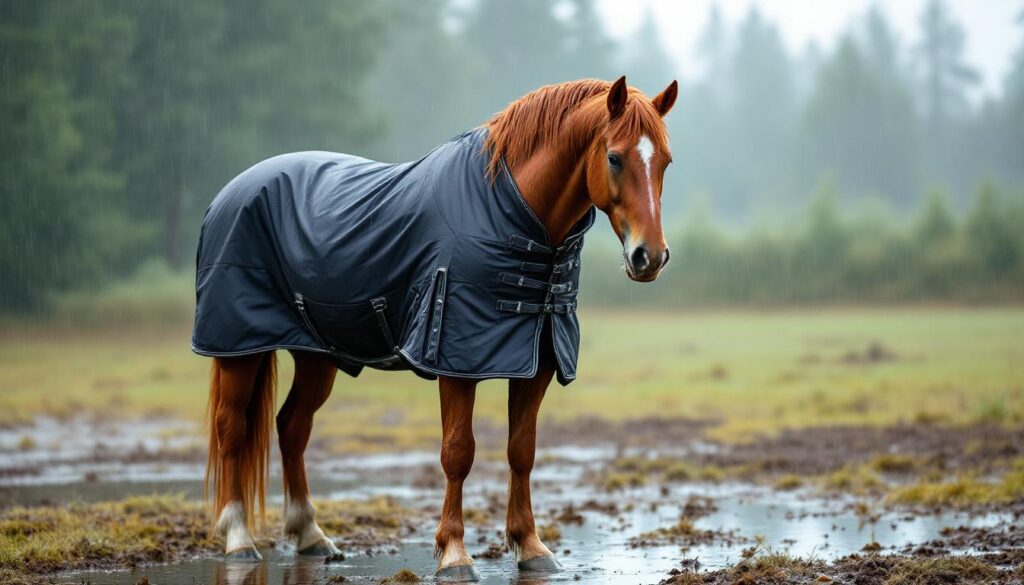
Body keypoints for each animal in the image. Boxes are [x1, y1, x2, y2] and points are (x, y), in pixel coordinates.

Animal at [196, 76, 676, 580]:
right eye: (614, 157)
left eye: (665, 160)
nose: (650, 256)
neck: (508, 209)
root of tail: (230, 191)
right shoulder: (455, 361)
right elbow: (458, 453)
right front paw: (454, 553)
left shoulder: (538, 359)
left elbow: (522, 450)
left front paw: (530, 545)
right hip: (238, 350)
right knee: (231, 429)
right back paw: (238, 537)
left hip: (315, 356)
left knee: (292, 426)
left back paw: (311, 534)